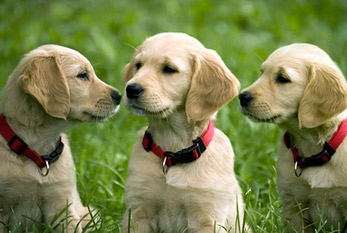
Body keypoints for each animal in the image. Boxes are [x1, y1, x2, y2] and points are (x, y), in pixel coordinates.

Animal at [123, 32, 247, 233]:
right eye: (138, 65)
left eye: (169, 69)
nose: (131, 89)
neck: (173, 152)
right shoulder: (138, 211)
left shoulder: (207, 217)